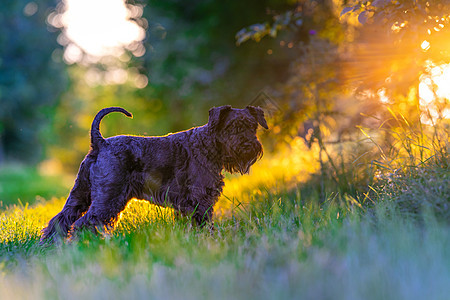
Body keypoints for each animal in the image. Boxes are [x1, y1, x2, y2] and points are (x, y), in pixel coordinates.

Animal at [40, 105, 268, 241]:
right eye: (231, 127)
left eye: (252, 125)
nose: (248, 146)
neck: (207, 143)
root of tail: (99, 143)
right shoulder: (199, 199)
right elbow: (203, 223)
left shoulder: (185, 204)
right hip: (108, 198)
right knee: (83, 223)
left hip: (80, 194)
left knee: (61, 220)